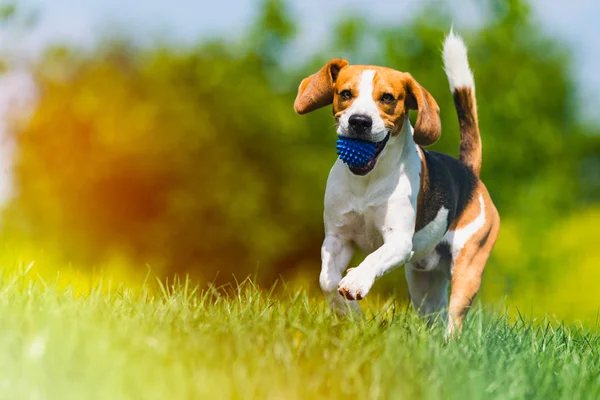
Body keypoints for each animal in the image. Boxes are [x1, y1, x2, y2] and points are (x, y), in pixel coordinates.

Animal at [292, 31, 500, 332]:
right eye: (346, 94)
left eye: (387, 98)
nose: (359, 121)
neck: (367, 180)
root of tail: (468, 172)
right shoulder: (337, 238)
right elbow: (327, 280)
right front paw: (349, 312)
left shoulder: (399, 242)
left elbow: (373, 257)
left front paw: (355, 281)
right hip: (423, 281)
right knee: (434, 314)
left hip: (468, 267)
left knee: (454, 319)